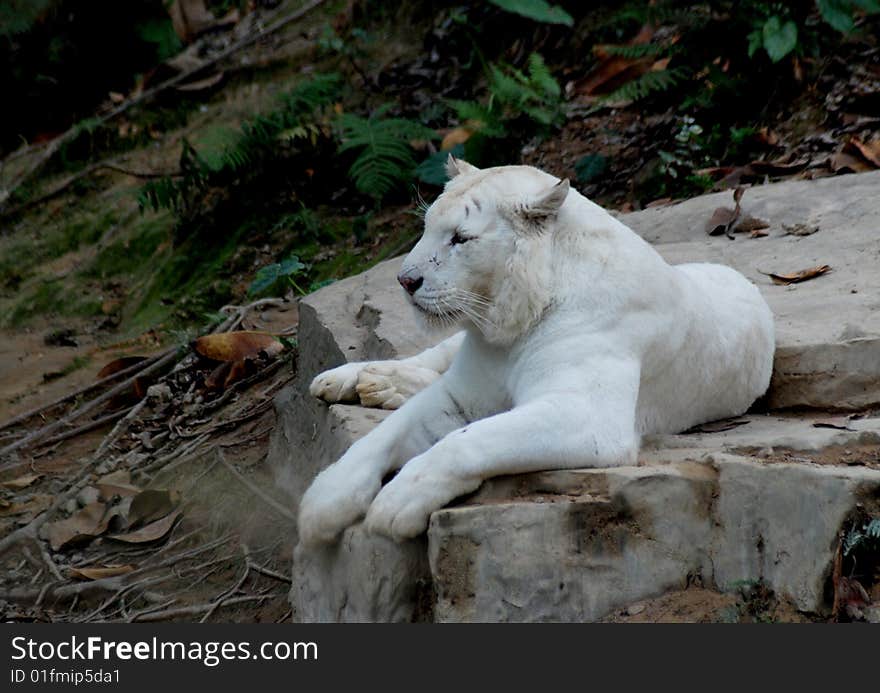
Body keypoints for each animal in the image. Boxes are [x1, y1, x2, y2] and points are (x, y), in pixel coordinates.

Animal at [300, 157, 772, 548]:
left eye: (460, 238)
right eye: (427, 227)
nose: (405, 280)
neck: (506, 328)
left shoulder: (588, 414)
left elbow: (466, 441)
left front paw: (396, 503)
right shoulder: (462, 392)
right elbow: (385, 435)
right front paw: (322, 501)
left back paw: (377, 387)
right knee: (426, 360)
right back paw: (353, 379)